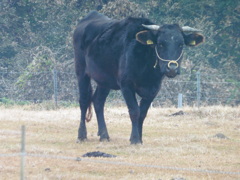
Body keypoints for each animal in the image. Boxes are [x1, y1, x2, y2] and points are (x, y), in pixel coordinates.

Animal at [73, 10, 204, 143]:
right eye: (160, 44)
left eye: (181, 44)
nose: (171, 68)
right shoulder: (126, 85)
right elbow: (134, 111)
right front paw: (135, 139)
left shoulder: (154, 88)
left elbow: (142, 113)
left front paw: (139, 138)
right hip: (81, 71)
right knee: (84, 101)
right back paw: (81, 135)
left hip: (104, 80)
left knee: (98, 101)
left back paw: (104, 135)